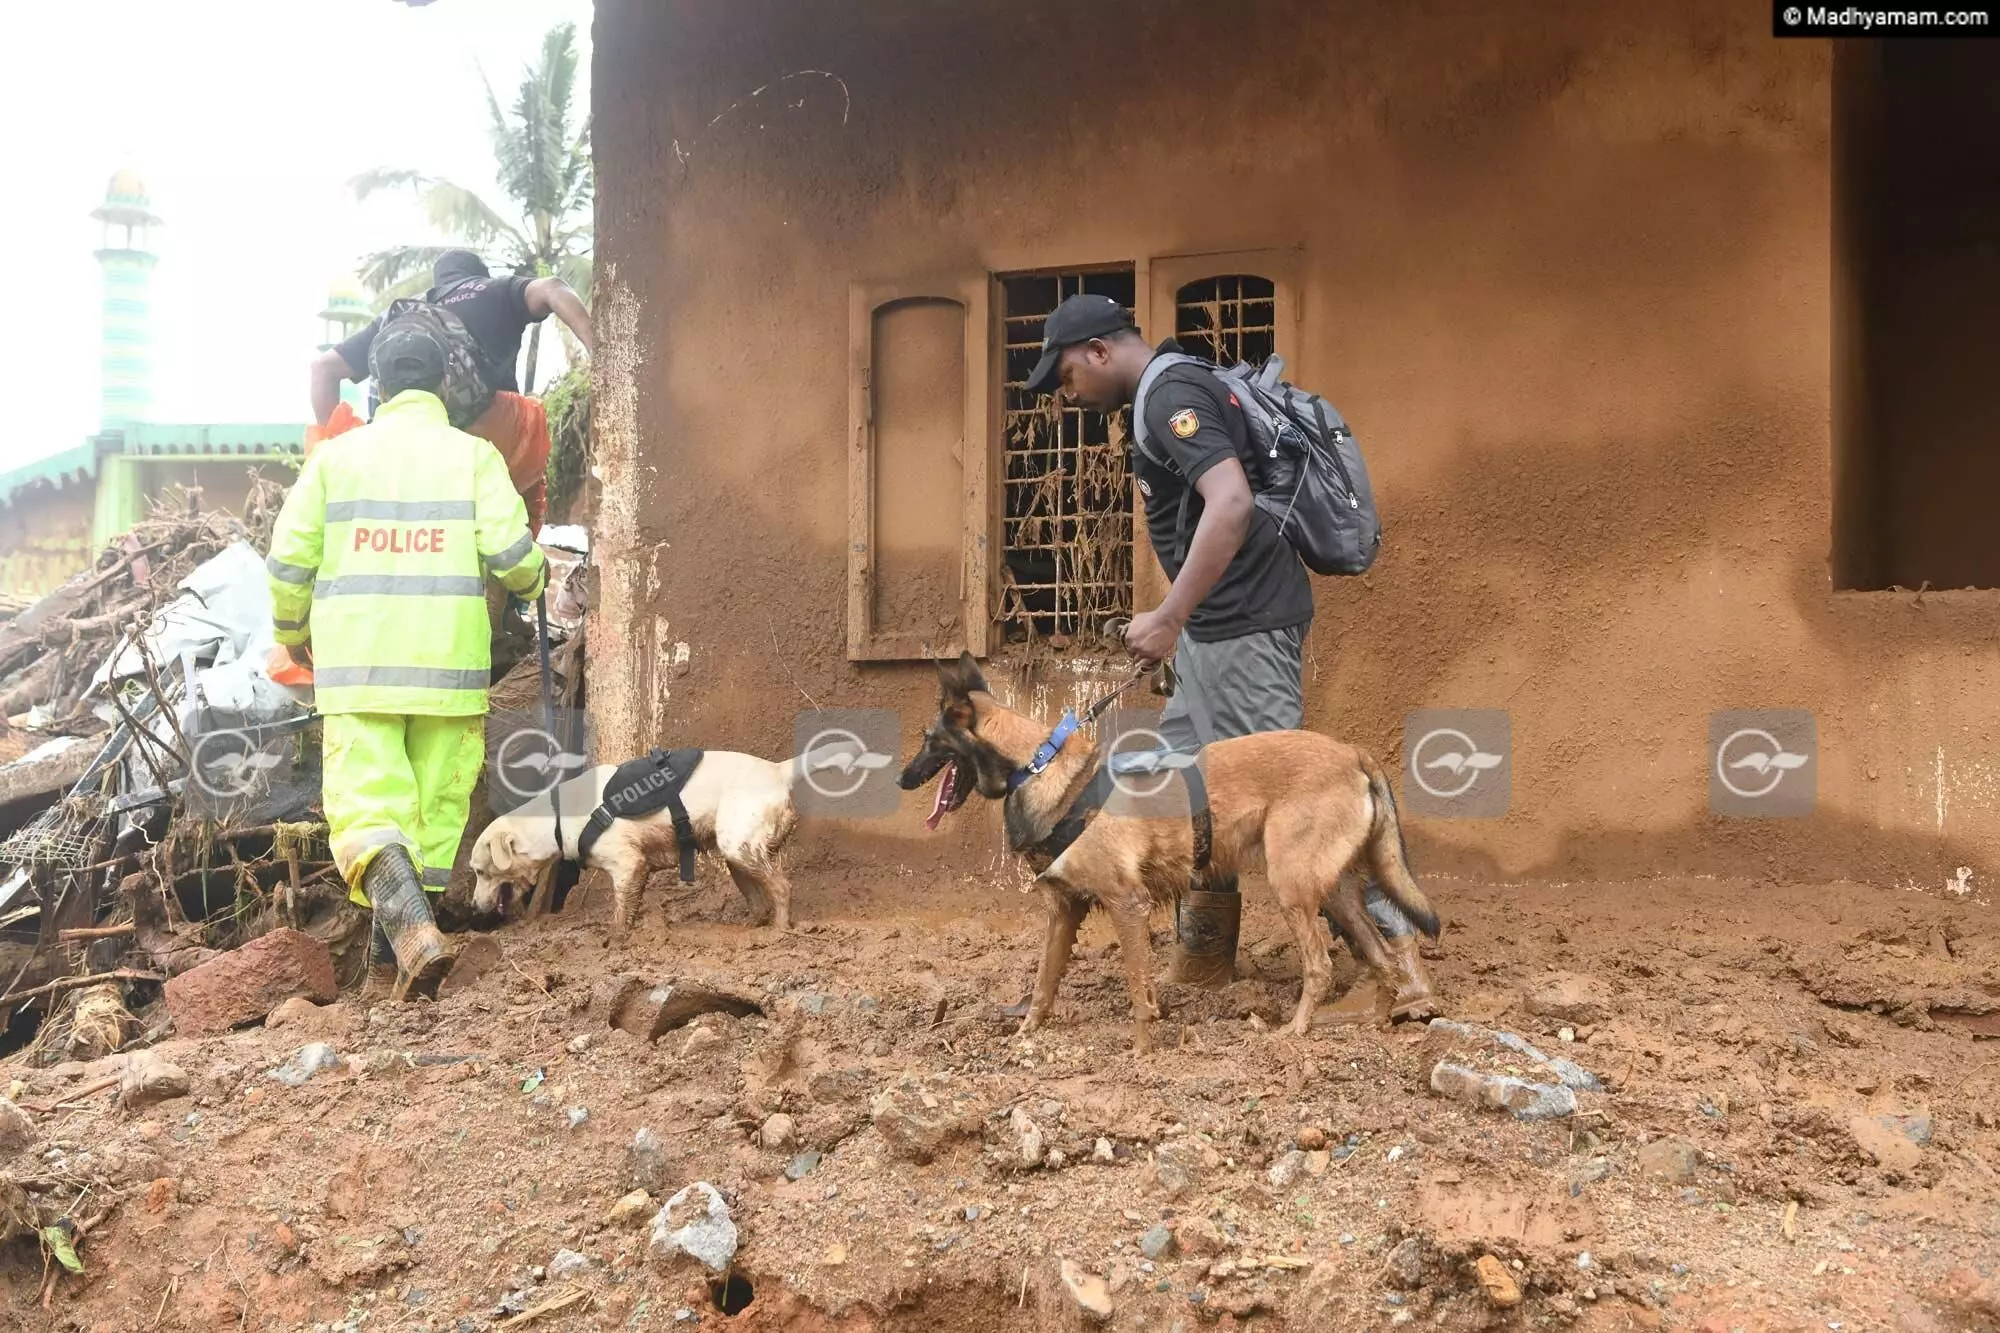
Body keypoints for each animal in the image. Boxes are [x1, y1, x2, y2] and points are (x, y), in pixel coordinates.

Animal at [474, 740, 860, 940]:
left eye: (480, 872)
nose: (475, 909)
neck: (554, 818)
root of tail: (778, 770)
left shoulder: (628, 865)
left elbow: (619, 913)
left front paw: (615, 940)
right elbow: (630, 907)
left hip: (741, 846)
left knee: (781, 888)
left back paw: (780, 930)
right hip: (735, 854)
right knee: (759, 901)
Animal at [904, 652, 1440, 1048]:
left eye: (930, 739)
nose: (902, 779)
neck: (1039, 767)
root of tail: (1353, 753)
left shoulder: (1128, 905)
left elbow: (1137, 988)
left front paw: (1142, 1053)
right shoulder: (1063, 911)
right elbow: (1043, 983)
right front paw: (1024, 1036)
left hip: (1293, 888)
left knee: (1322, 966)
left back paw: (1295, 1030)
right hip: (1337, 892)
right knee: (1381, 956)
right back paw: (1377, 1022)